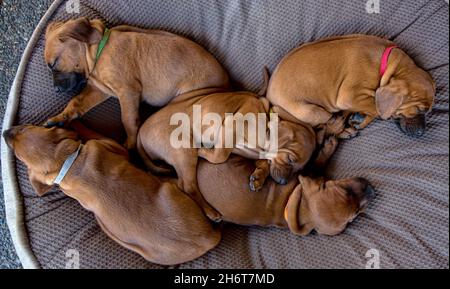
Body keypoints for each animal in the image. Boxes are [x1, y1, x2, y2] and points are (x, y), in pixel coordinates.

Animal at [2, 122, 221, 264]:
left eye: (23, 129)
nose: (4, 132)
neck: (69, 164)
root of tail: (208, 239)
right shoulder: (110, 145)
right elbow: (90, 132)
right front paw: (75, 122)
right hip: (171, 188)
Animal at [44, 17, 230, 148]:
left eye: (54, 64)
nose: (55, 89)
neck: (98, 52)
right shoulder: (100, 90)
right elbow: (76, 101)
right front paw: (61, 118)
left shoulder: (127, 91)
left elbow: (128, 119)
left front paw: (131, 143)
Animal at [137, 91, 316, 222]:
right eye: (291, 160)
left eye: (299, 169)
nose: (283, 182)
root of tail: (139, 134)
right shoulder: (232, 125)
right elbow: (220, 156)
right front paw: (203, 150)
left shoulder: (247, 150)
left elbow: (263, 163)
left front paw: (258, 178)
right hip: (183, 151)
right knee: (187, 186)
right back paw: (210, 212)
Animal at [268, 33, 436, 137]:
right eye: (420, 110)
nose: (422, 133)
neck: (386, 64)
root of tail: (270, 99)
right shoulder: (349, 96)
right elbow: (377, 109)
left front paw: (360, 118)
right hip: (310, 111)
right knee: (325, 126)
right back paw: (345, 131)